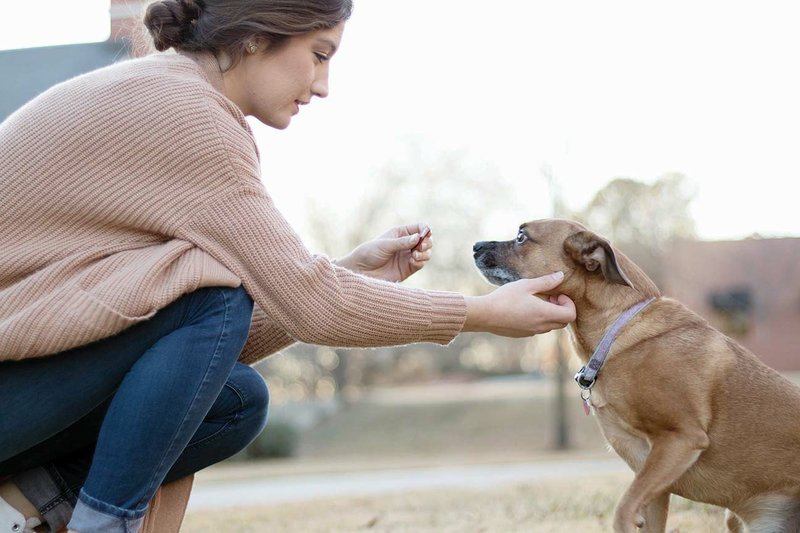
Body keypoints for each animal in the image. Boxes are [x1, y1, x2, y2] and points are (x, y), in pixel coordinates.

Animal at [472, 217, 800, 532]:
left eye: (521, 237)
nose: (475, 246)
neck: (619, 330)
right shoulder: (652, 477)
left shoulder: (680, 440)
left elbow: (622, 512)